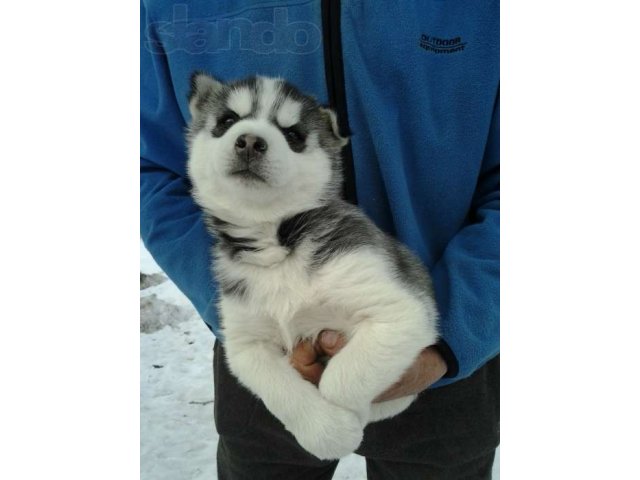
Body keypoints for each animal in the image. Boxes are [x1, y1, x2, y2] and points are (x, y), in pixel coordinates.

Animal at [186, 73, 440, 460]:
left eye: (293, 134)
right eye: (228, 120)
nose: (250, 141)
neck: (277, 245)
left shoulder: (401, 309)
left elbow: (341, 378)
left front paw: (348, 417)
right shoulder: (245, 343)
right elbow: (279, 389)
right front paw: (327, 430)